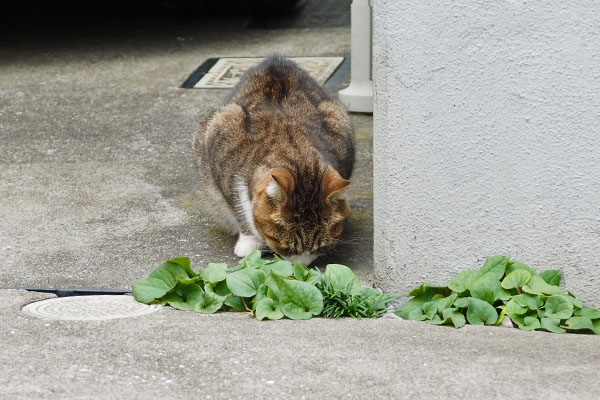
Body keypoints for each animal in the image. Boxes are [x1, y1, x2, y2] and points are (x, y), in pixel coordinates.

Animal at [192, 54, 354, 264]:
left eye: (320, 247)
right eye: (286, 248)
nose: (302, 267)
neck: (295, 150)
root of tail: (275, 60)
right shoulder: (220, 145)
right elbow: (236, 206)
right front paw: (249, 241)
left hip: (336, 113)